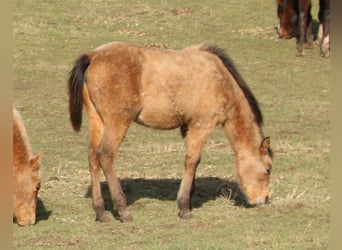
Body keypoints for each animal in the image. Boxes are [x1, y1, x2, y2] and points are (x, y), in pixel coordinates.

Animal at [68, 41, 274, 223]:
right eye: (268, 169)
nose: (264, 199)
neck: (221, 80)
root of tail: (93, 56)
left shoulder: (187, 126)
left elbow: (194, 161)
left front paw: (189, 198)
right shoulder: (203, 124)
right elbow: (192, 160)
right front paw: (184, 207)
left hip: (98, 121)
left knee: (93, 157)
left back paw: (100, 212)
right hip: (117, 122)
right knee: (105, 155)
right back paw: (123, 209)